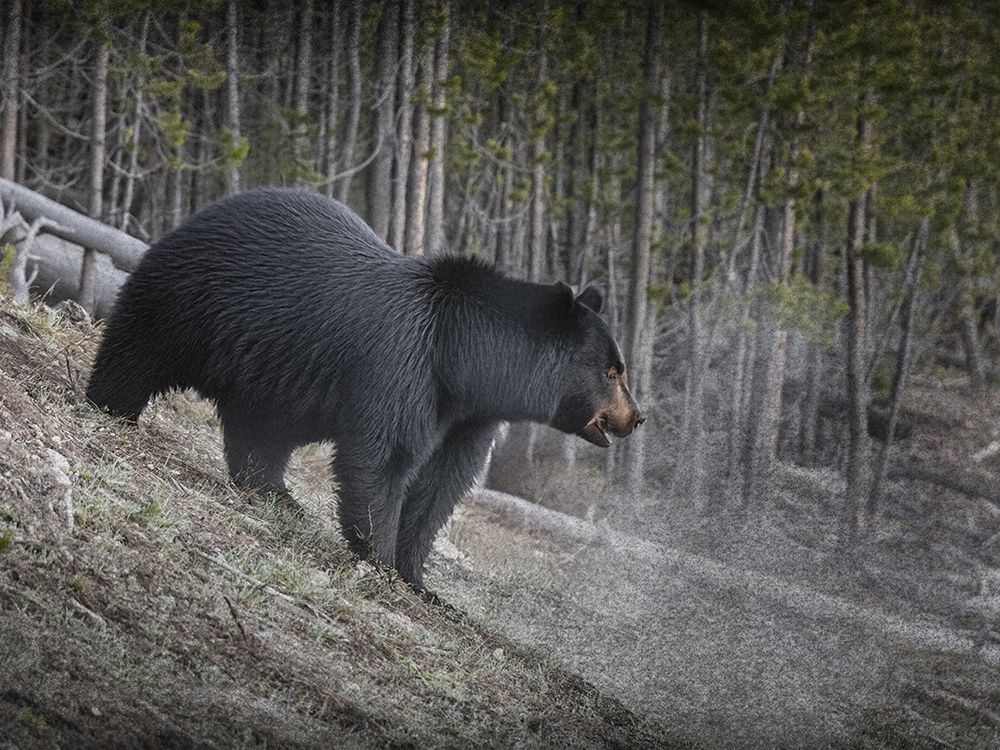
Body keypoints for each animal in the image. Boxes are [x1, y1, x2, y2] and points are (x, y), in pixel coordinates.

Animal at [86, 188, 643, 591]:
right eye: (612, 371)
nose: (636, 417)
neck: (468, 360)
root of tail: (206, 210)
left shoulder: (468, 416)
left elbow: (441, 482)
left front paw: (418, 579)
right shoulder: (406, 365)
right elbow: (386, 456)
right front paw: (377, 556)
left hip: (273, 371)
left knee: (261, 429)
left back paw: (275, 492)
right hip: (192, 300)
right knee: (139, 350)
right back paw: (112, 407)